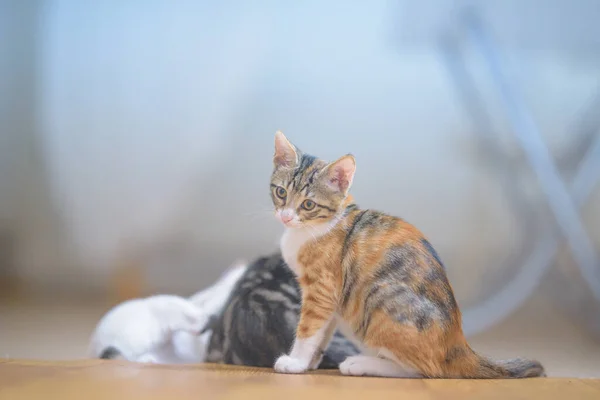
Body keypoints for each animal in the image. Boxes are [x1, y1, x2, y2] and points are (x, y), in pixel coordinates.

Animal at [270, 131, 548, 378]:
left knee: (426, 370)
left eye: (308, 204)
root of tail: (458, 343)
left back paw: (362, 364)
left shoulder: (322, 289)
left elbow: (308, 328)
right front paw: (310, 362)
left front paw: (295, 362)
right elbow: (323, 331)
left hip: (379, 296)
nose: (286, 217)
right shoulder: (332, 299)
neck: (315, 226)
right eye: (281, 192)